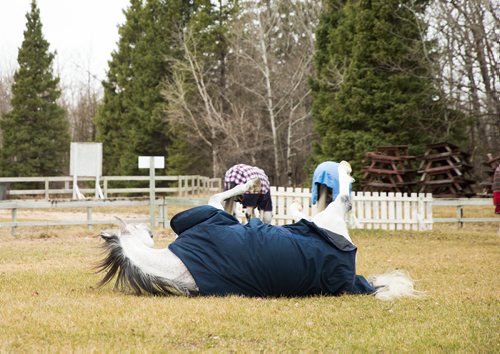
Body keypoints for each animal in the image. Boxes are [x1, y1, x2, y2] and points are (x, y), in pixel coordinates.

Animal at [95, 164, 420, 302]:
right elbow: (221, 194)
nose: (150, 230)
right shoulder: (214, 215)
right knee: (341, 198)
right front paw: (250, 182)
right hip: (332, 219)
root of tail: (351, 278)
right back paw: (338, 173)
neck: (176, 266)